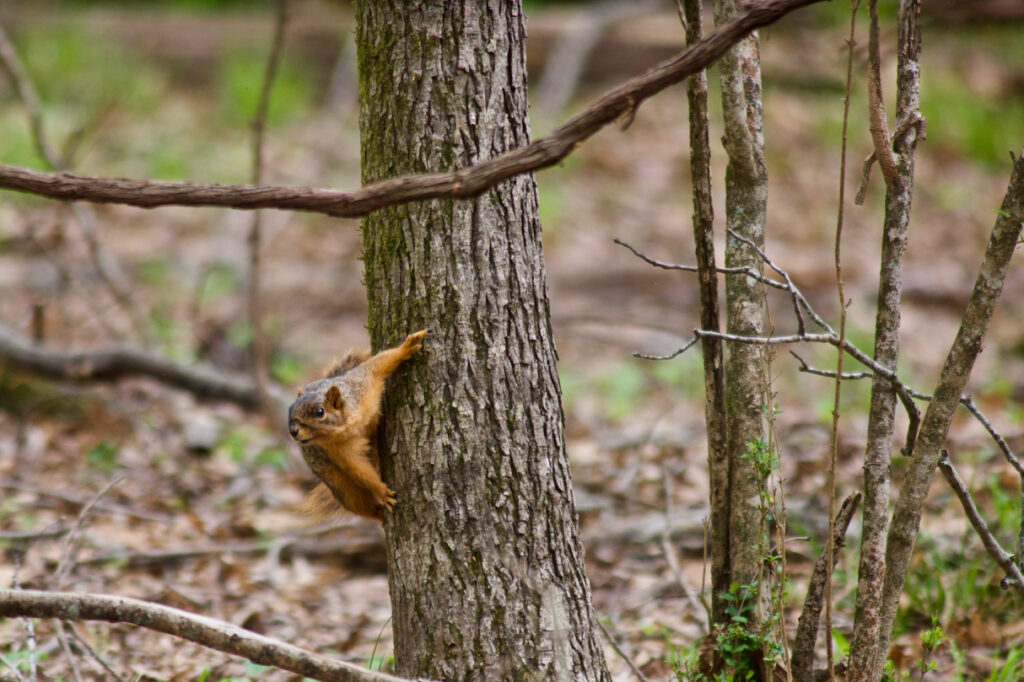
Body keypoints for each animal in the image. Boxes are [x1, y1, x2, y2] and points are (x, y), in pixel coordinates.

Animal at [288, 327, 428, 516]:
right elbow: (359, 470)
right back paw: (379, 515)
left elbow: (381, 361)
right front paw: (383, 492)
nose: (293, 430)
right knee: (362, 504)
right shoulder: (338, 450)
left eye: (319, 412)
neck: (351, 424)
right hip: (339, 484)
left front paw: (407, 347)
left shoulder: (363, 381)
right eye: (290, 410)